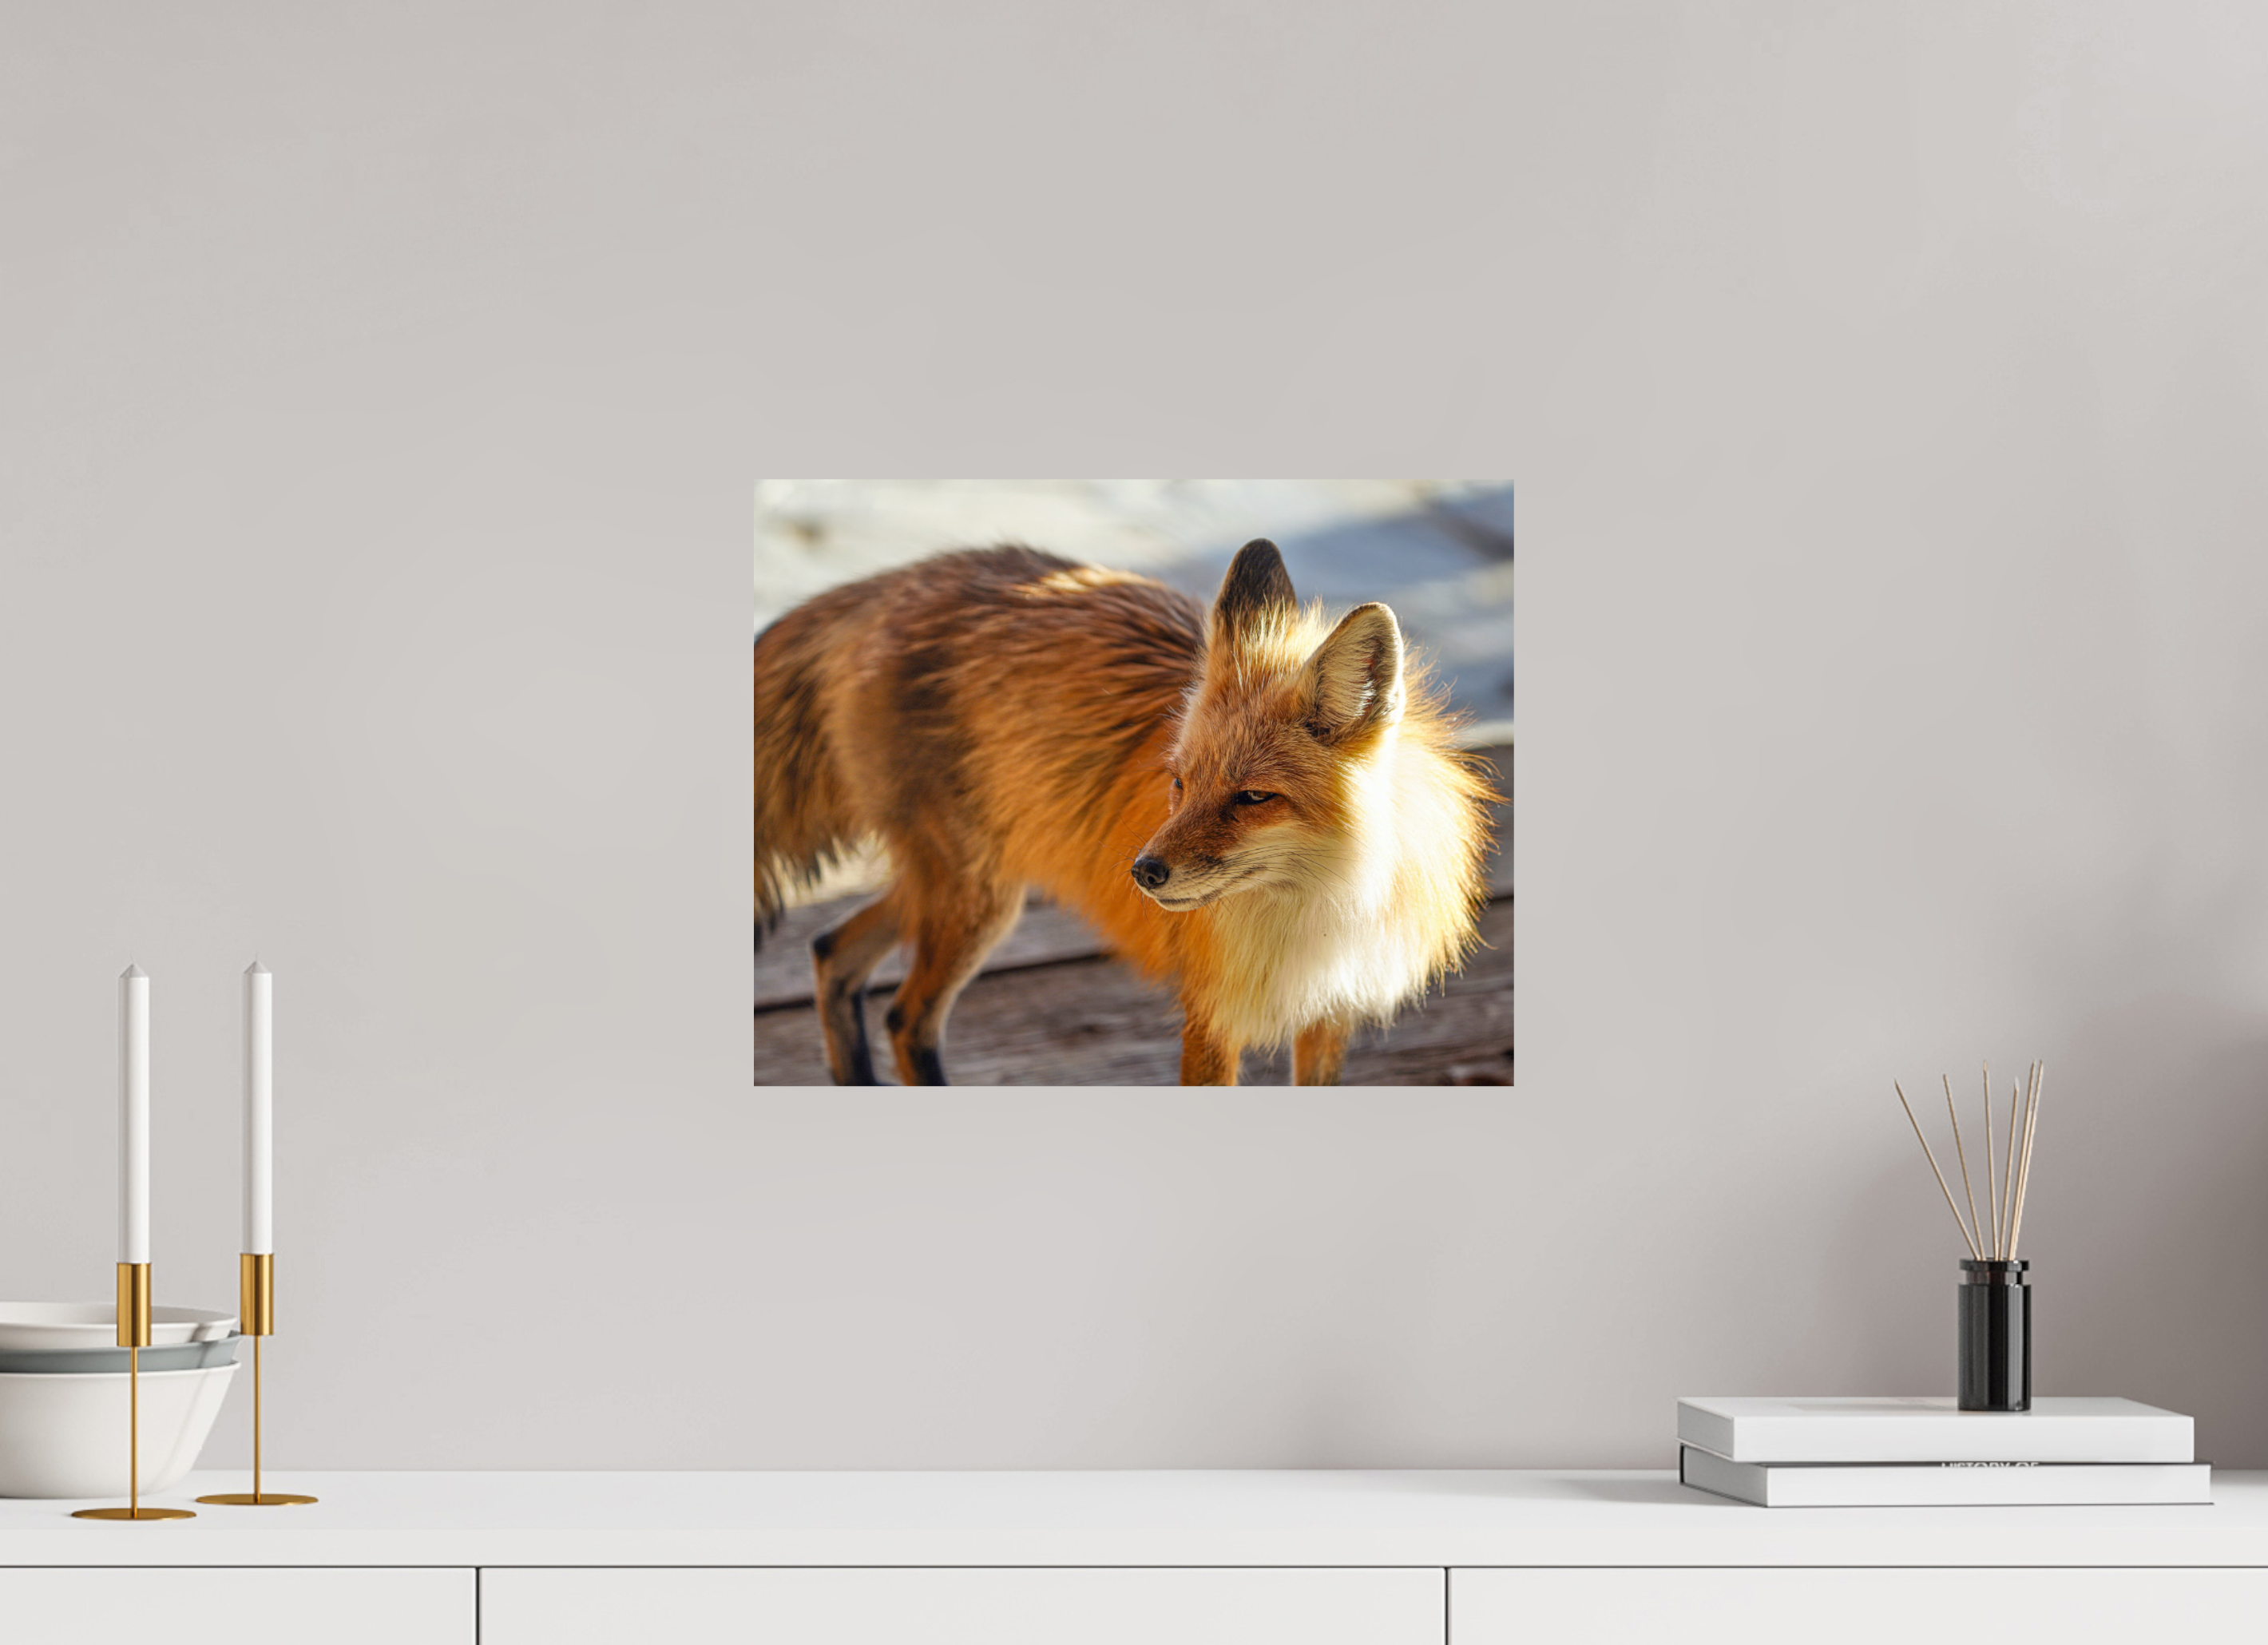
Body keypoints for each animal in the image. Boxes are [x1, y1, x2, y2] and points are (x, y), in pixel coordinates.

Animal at [753, 538, 1498, 1086]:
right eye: (1180, 783)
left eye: (1253, 797)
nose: (1142, 873)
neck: (1327, 910)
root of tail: (902, 578)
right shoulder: (1211, 1017)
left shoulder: (1329, 1015)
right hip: (975, 898)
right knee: (906, 1018)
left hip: (961, 889)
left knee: (831, 951)